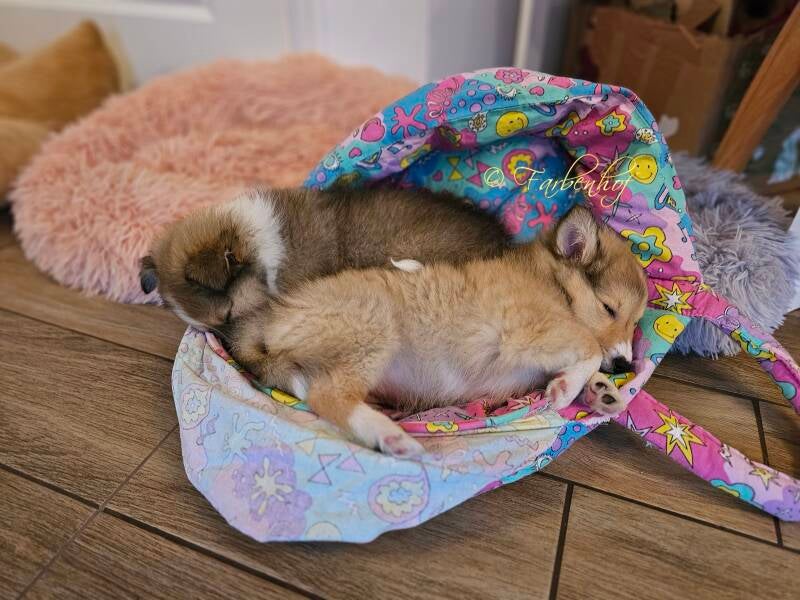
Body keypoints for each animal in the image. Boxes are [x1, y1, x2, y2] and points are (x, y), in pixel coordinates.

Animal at [227, 205, 648, 457]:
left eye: (636, 322)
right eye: (610, 308)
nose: (626, 364)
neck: (551, 283)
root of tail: (264, 321)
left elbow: (585, 357)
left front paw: (600, 392)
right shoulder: (525, 332)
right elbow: (588, 345)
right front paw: (567, 389)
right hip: (375, 324)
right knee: (327, 396)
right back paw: (389, 436)